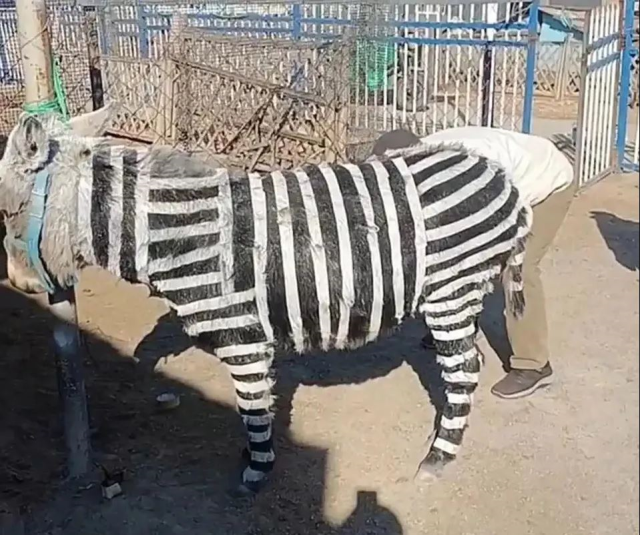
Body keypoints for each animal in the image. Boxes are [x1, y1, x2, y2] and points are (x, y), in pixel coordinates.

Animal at [0, 112, 532, 493]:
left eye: (6, 210)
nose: (21, 285)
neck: (181, 234)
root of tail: (498, 175)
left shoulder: (244, 339)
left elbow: (251, 406)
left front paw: (256, 470)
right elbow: (256, 404)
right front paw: (254, 458)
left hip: (452, 290)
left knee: (463, 369)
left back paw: (439, 456)